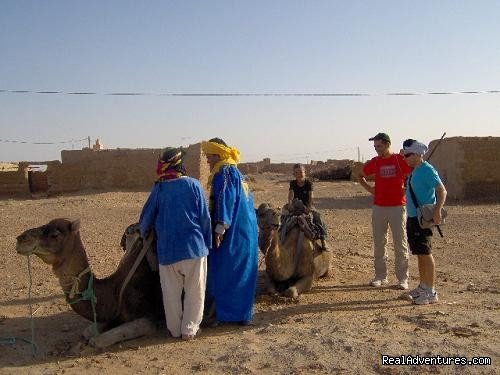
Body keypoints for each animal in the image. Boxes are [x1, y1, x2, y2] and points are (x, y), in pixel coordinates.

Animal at [15, 219, 162, 348]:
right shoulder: (113, 312)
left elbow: (100, 339)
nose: (20, 239)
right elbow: (88, 331)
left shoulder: (149, 316)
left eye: (54, 235)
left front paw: (96, 340)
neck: (115, 290)